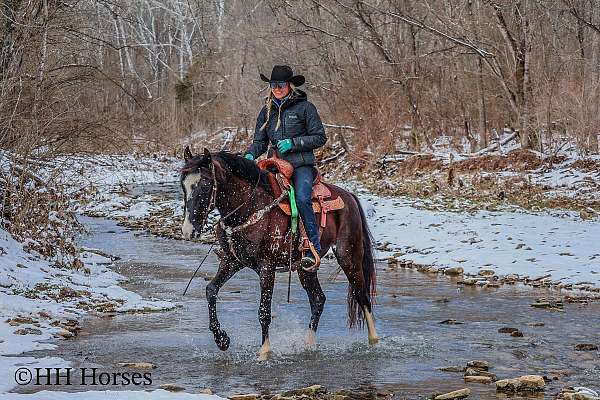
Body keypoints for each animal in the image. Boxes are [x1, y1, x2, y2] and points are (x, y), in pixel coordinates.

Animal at [178, 147, 378, 360]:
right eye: (183, 185)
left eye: (205, 185)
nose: (188, 231)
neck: (249, 206)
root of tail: (349, 196)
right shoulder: (232, 261)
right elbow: (211, 290)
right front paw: (221, 339)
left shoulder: (267, 266)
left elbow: (264, 311)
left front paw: (264, 351)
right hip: (306, 268)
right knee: (318, 299)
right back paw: (308, 344)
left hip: (348, 256)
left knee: (362, 296)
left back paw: (374, 341)